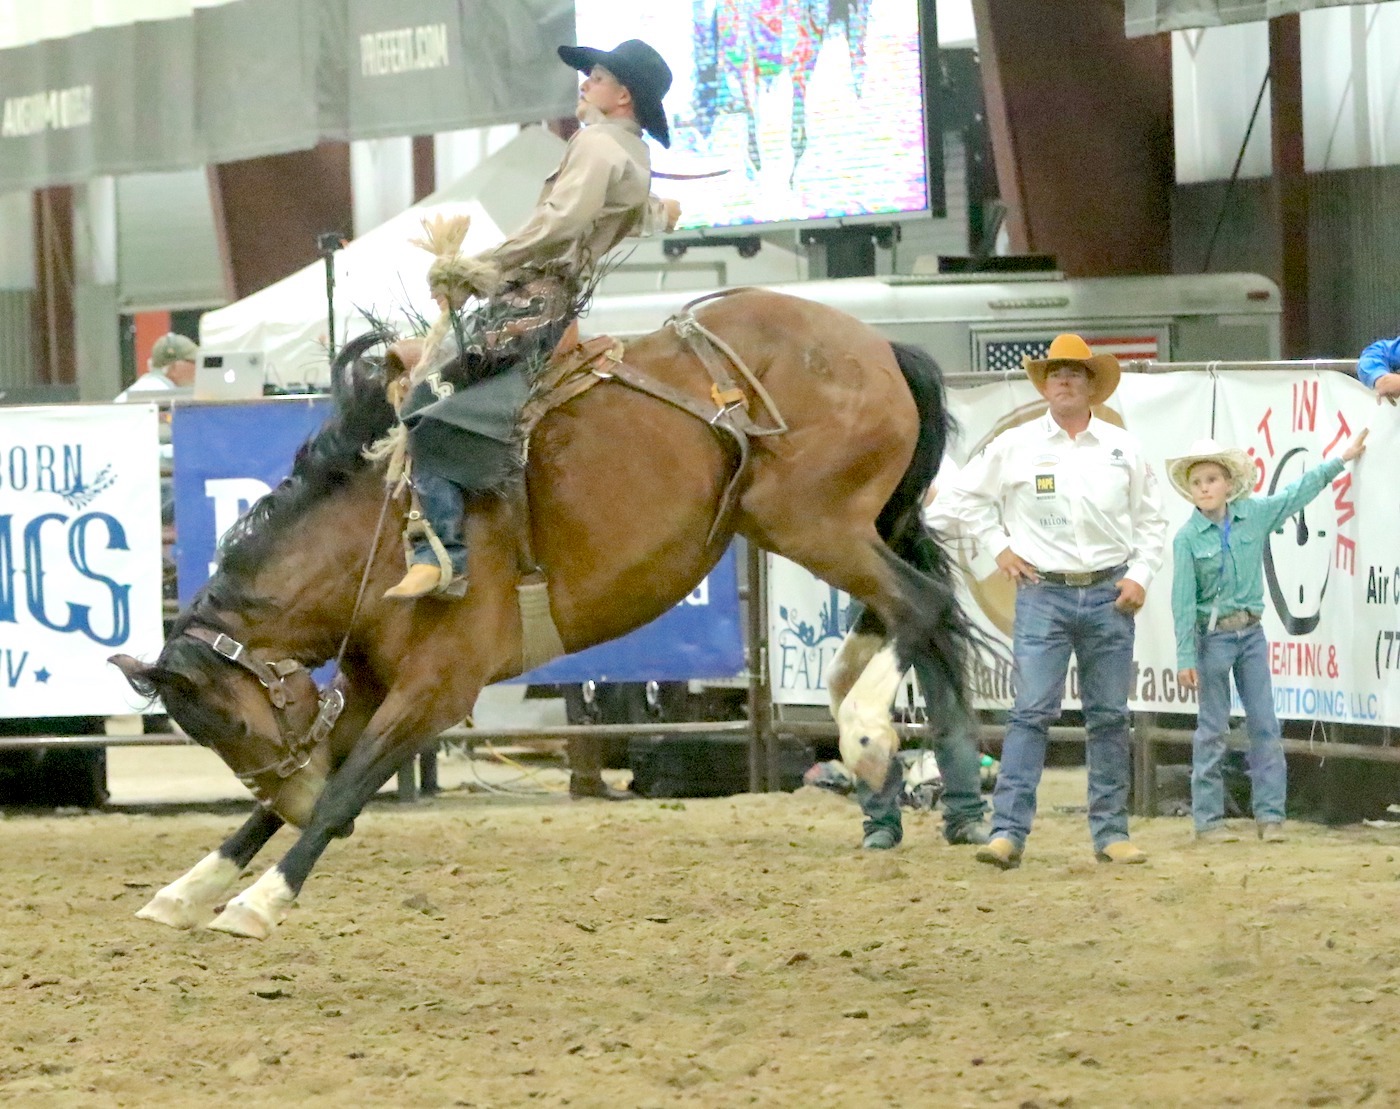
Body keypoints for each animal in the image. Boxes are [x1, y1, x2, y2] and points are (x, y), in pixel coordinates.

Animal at [114, 288, 980, 935]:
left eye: (229, 719)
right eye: (206, 731)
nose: (291, 793)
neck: (379, 538)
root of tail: (882, 349)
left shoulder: (436, 689)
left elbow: (346, 787)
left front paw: (260, 899)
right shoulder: (366, 686)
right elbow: (303, 789)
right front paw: (191, 887)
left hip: (810, 521)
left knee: (923, 602)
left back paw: (865, 733)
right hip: (820, 525)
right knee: (916, 617)